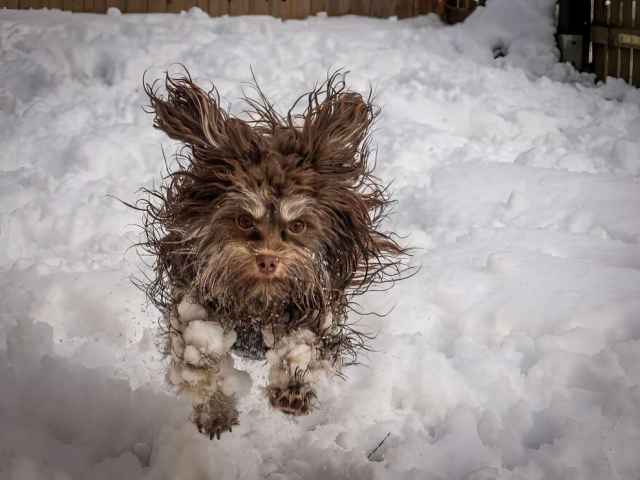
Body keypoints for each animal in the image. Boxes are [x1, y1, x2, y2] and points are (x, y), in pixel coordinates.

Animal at [132, 69, 408, 440]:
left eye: (298, 225)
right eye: (243, 220)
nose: (267, 260)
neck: (259, 302)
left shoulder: (315, 308)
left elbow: (303, 347)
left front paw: (292, 390)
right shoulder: (193, 301)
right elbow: (198, 356)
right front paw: (214, 409)